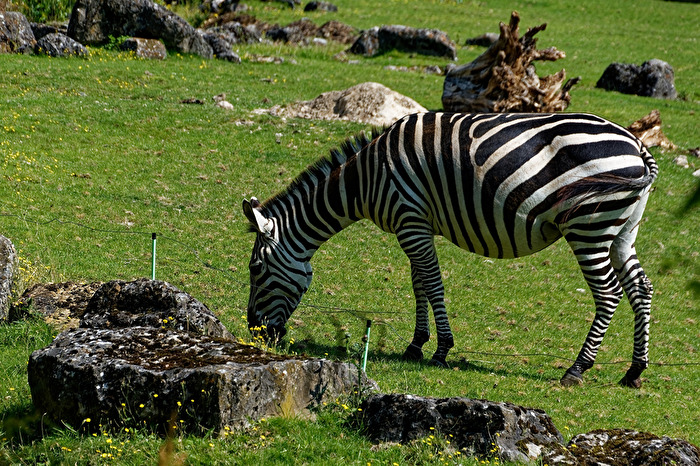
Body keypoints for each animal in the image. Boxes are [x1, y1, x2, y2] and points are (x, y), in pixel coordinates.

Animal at [243, 112, 658, 387]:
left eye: (256, 270)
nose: (255, 333)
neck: (366, 180)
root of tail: (637, 144)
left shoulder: (410, 219)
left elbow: (432, 282)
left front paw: (441, 349)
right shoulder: (415, 224)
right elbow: (418, 284)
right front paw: (415, 345)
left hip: (588, 225)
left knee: (608, 293)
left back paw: (577, 369)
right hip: (622, 229)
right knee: (641, 287)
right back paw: (634, 371)